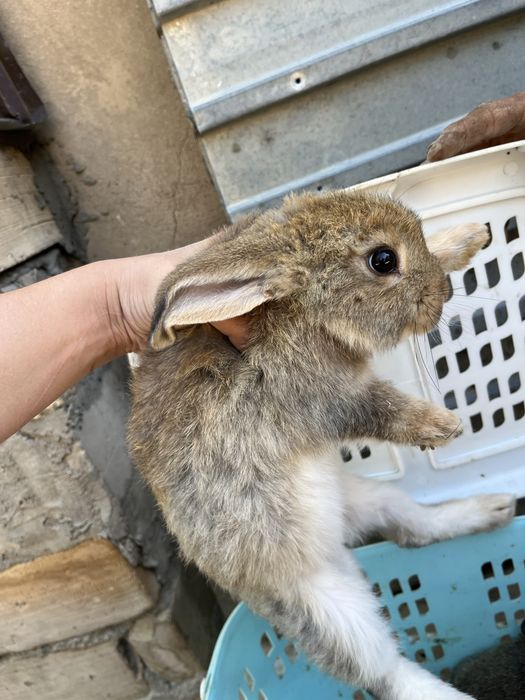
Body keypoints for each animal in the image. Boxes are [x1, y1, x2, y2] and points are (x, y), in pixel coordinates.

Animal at [129, 190, 516, 700]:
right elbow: (382, 410)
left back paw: (493, 508)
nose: (445, 294)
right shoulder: (326, 398)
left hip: (370, 499)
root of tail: (337, 548)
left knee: (411, 529)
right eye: (383, 260)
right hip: (328, 612)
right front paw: (442, 425)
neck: (300, 310)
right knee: (384, 672)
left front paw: (469, 236)